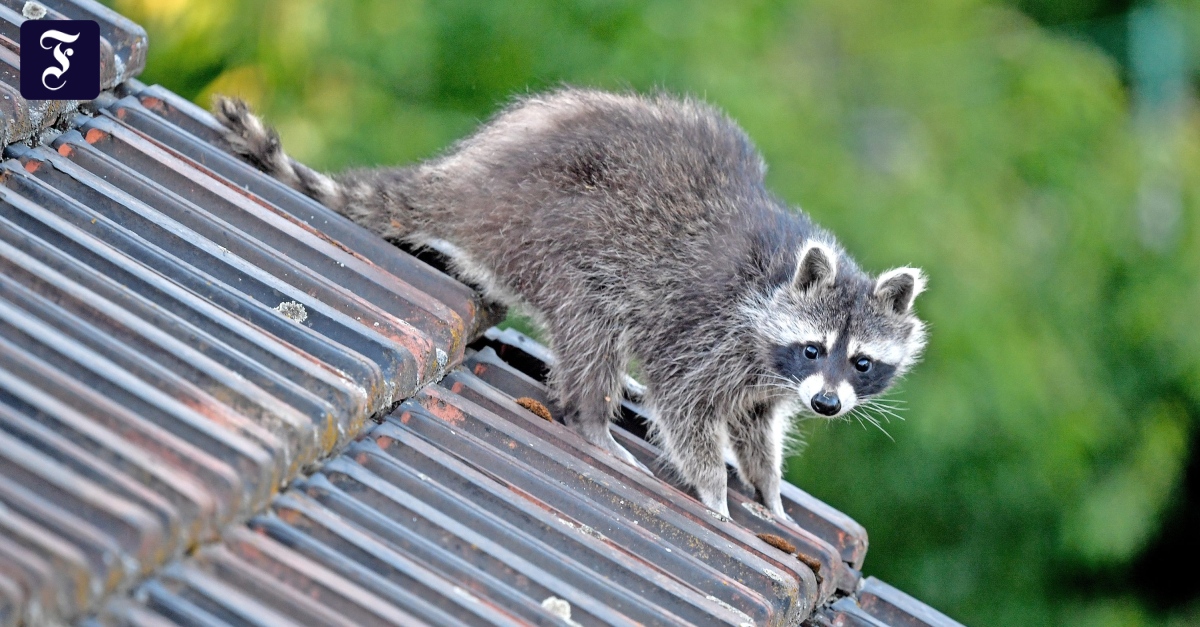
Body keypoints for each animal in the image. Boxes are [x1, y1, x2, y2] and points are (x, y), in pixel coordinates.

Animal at [213, 88, 926, 516]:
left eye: (861, 362)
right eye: (813, 349)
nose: (828, 405)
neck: (781, 275)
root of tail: (474, 180)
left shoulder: (764, 374)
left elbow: (756, 423)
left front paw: (767, 488)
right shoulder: (711, 325)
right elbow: (685, 400)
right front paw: (713, 490)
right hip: (559, 231)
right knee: (594, 322)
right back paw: (593, 420)